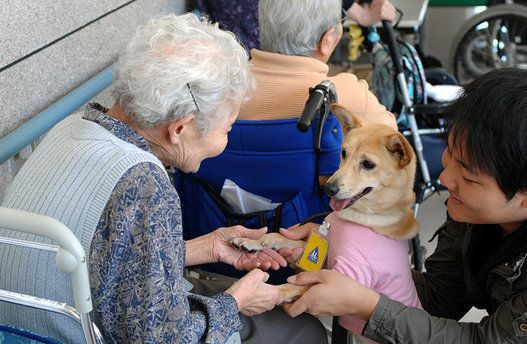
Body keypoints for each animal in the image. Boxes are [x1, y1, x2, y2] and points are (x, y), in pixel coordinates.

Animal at [233, 103, 418, 302]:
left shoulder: (343, 276)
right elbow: (278, 237)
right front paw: (252, 241)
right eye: (343, 153)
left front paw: (267, 293)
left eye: (368, 164)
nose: (328, 188)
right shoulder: (323, 256)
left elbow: (300, 286)